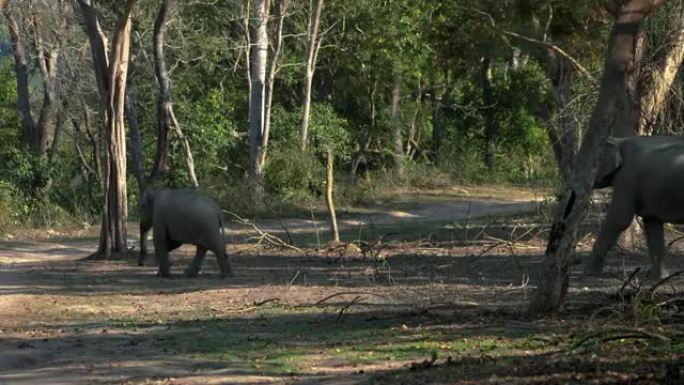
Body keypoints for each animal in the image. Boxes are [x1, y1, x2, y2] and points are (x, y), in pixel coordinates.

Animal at [584, 136, 684, 280]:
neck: (619, 140)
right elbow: (652, 225)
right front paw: (659, 278)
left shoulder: (627, 177)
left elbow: (619, 219)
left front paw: (587, 271)